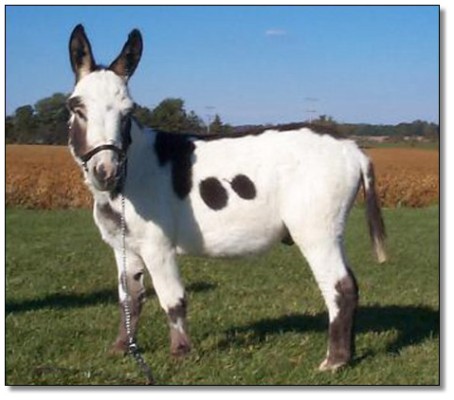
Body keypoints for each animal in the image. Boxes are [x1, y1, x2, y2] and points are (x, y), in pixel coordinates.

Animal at [67, 24, 386, 373]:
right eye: (77, 108)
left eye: (128, 112)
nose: (106, 171)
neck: (133, 170)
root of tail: (352, 148)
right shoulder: (123, 247)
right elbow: (130, 299)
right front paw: (122, 347)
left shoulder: (157, 246)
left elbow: (172, 298)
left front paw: (181, 352)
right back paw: (346, 355)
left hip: (317, 231)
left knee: (341, 287)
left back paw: (334, 361)